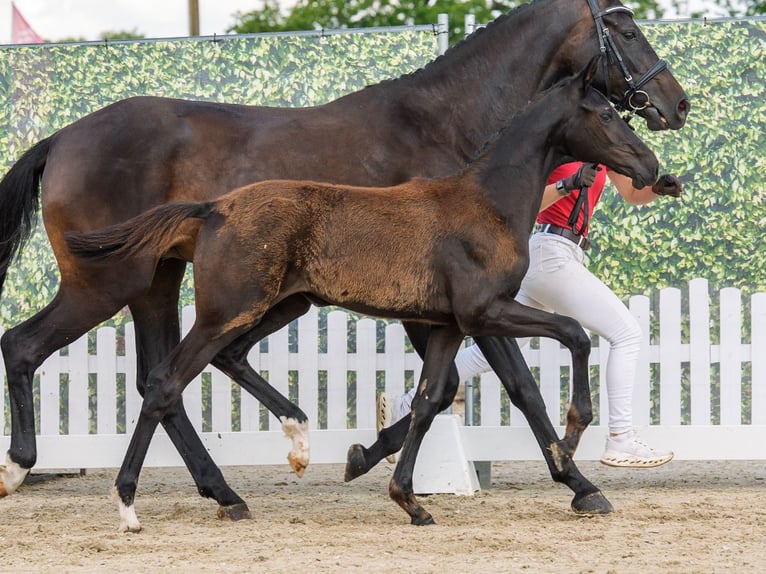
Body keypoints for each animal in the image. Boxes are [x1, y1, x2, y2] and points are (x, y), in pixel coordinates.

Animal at [0, 0, 688, 517]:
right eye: (627, 30)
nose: (675, 104)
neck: (448, 129)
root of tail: (61, 138)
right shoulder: (456, 305)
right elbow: (511, 386)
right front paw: (578, 480)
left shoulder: (441, 310)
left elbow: (444, 390)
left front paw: (366, 460)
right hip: (109, 282)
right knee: (29, 346)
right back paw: (23, 468)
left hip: (164, 284)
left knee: (158, 377)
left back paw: (229, 487)